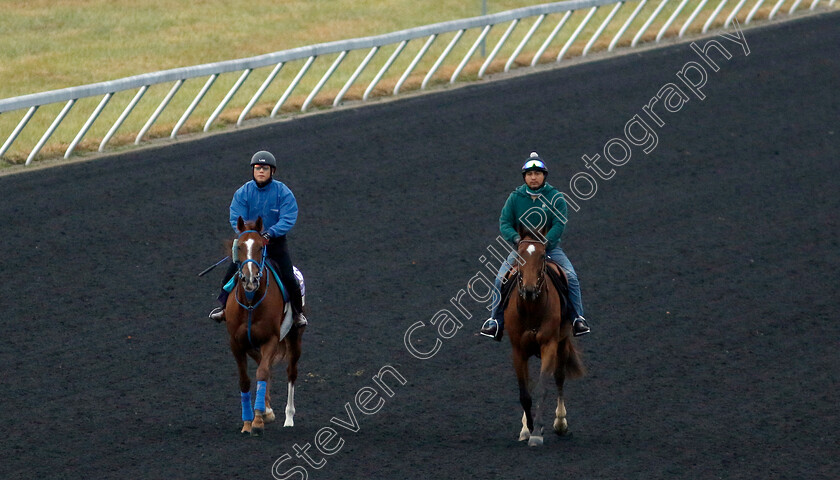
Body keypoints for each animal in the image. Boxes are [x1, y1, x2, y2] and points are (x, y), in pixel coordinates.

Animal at [226, 218, 306, 436]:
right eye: (239, 246)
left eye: (261, 246)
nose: (250, 279)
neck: (251, 303)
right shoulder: (236, 344)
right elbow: (245, 380)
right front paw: (248, 422)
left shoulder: (270, 339)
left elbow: (261, 373)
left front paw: (258, 421)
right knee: (265, 365)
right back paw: (267, 410)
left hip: (294, 339)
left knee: (291, 372)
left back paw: (288, 418)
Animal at [502, 229, 588, 446]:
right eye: (519, 255)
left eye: (542, 256)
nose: (529, 289)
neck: (532, 309)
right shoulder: (518, 350)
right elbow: (525, 393)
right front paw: (529, 429)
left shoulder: (549, 345)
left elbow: (543, 388)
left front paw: (537, 433)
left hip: (562, 343)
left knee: (559, 377)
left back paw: (561, 424)